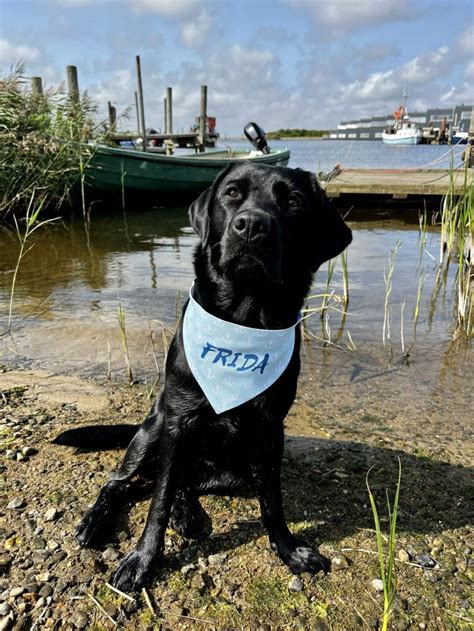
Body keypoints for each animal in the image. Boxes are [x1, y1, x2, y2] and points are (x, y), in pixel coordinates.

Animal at [55, 162, 352, 592]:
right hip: (152, 431)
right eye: (232, 193)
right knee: (125, 482)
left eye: (293, 202)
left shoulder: (270, 429)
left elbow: (272, 501)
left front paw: (289, 550)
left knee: (174, 483)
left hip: (234, 469)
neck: (243, 322)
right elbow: (158, 503)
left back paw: (187, 513)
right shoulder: (178, 419)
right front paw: (142, 560)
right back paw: (97, 522)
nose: (251, 225)